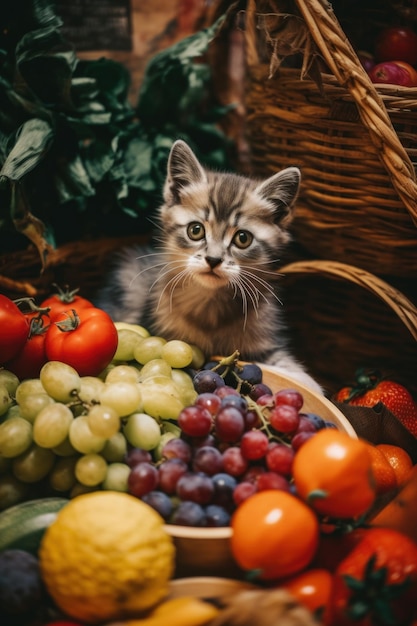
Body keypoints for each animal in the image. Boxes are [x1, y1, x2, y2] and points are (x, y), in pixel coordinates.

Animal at [96, 142, 322, 392]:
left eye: (243, 238)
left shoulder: (267, 340)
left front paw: (310, 385)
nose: (213, 259)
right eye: (195, 230)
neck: (211, 307)